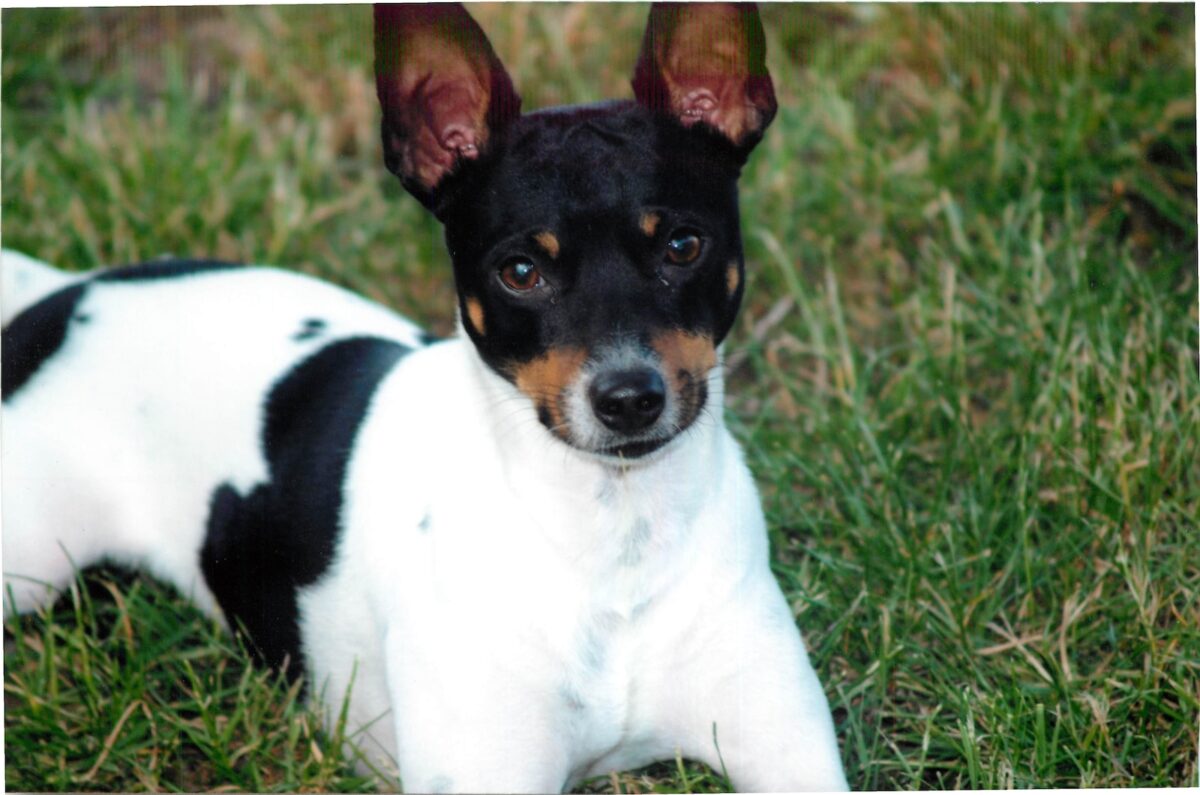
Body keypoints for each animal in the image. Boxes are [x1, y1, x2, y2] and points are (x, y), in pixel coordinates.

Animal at [0, 4, 849, 792]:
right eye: (519, 272)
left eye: (682, 245)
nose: (628, 397)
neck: (613, 538)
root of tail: (58, 300)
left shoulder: (791, 751)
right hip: (29, 565)